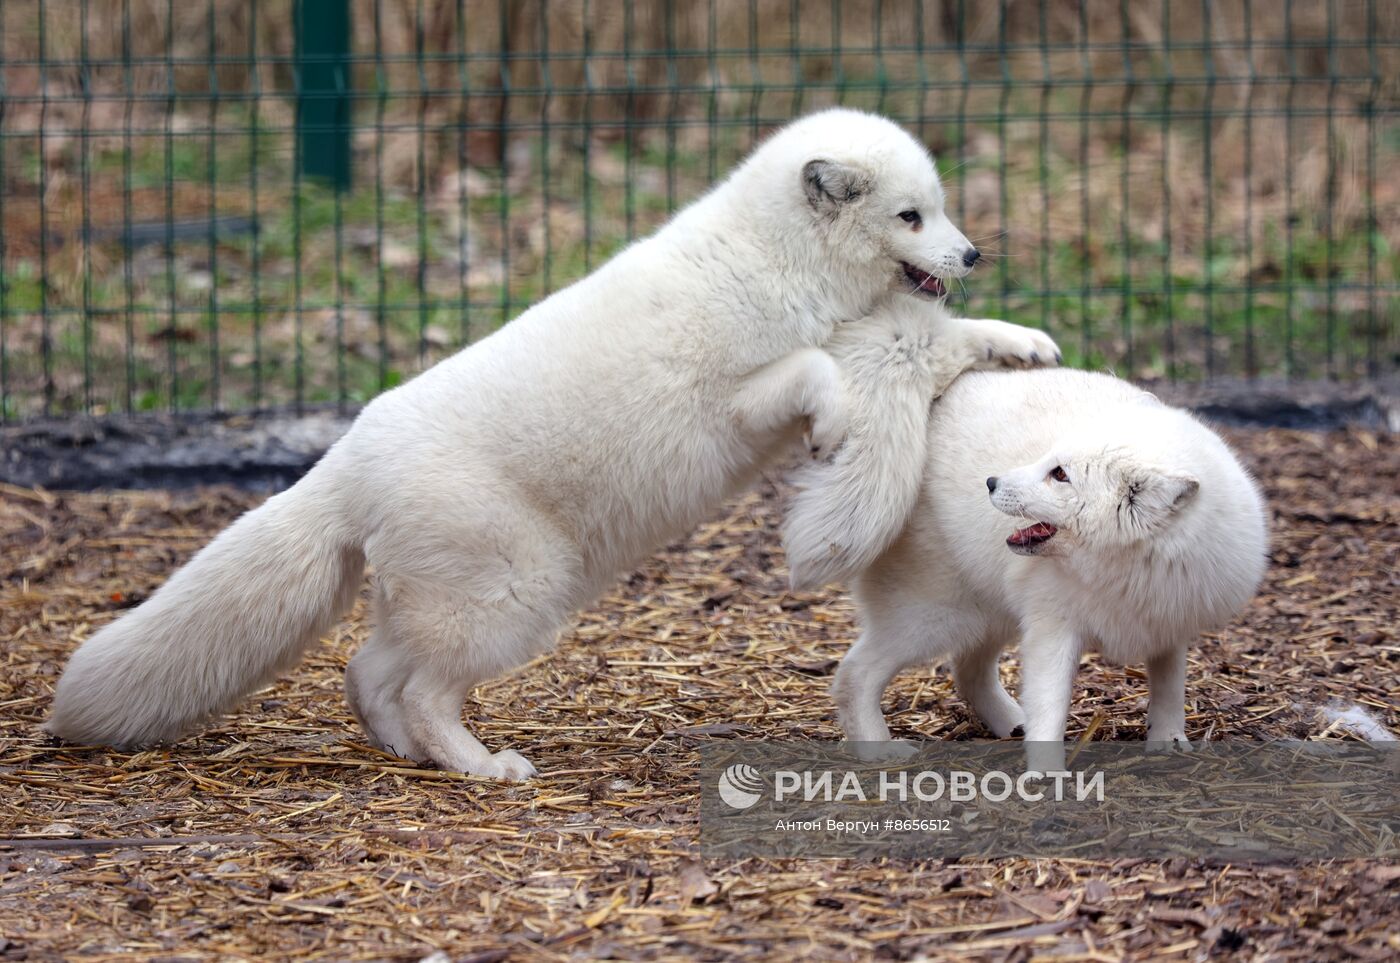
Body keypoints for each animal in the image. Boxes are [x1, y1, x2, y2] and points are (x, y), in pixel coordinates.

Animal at [46, 109, 1058, 778]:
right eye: (910, 217)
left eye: (940, 210)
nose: (974, 255)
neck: (771, 262)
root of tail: (345, 462)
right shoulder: (740, 401)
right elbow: (813, 370)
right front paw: (836, 425)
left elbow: (961, 339)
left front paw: (1029, 341)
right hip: (517, 596)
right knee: (419, 687)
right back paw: (484, 766)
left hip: (448, 603)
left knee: (370, 674)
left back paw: (414, 754)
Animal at [789, 363, 1271, 772]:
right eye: (1049, 462)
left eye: (1059, 474)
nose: (990, 482)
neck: (1127, 569)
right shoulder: (1052, 627)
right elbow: (1050, 706)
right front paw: (1046, 774)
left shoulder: (1167, 622)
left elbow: (1169, 688)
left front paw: (1168, 740)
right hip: (935, 617)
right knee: (854, 674)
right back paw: (877, 749)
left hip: (987, 615)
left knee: (968, 672)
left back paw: (1008, 724)